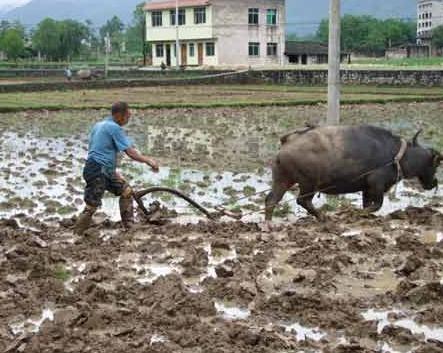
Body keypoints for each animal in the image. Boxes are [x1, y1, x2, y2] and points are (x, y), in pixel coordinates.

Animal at [266, 125, 442, 221]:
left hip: (283, 179)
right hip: (308, 183)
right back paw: (323, 217)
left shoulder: (367, 188)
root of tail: (287, 141)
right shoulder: (376, 185)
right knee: (302, 200)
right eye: (436, 164)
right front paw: (354, 212)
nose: (434, 183)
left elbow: (368, 205)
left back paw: (268, 224)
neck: (396, 156)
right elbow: (377, 205)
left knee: (271, 200)